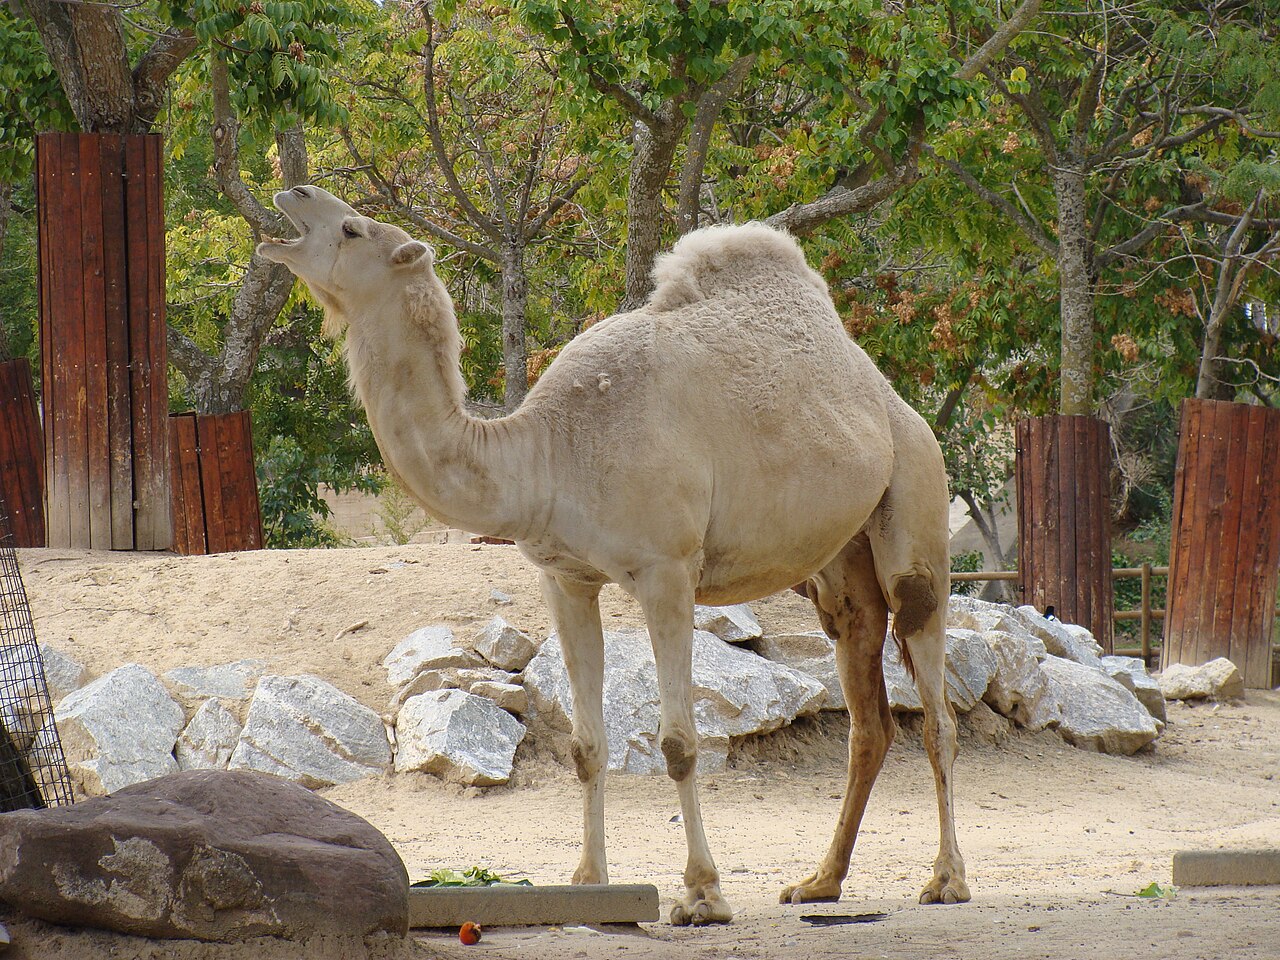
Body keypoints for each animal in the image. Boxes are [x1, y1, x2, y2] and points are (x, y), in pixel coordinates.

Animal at [258, 185, 969, 925]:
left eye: (350, 228)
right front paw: (589, 884)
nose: (293, 191)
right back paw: (820, 882)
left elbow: (680, 742)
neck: (548, 449)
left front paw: (702, 894)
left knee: (936, 711)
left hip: (916, 505)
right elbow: (586, 745)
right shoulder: (565, 578)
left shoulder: (667, 571)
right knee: (868, 716)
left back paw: (946, 879)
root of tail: (891, 400)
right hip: (840, 568)